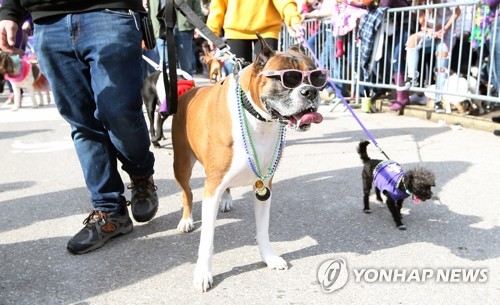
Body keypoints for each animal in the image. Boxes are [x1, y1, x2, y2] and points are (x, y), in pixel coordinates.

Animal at [171, 32, 324, 290]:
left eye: (317, 76)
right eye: (288, 78)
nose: (311, 91)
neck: (257, 119)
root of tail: (190, 91)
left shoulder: (264, 186)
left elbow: (263, 230)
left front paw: (268, 257)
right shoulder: (211, 188)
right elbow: (207, 240)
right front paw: (203, 272)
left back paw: (226, 200)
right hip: (181, 165)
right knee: (187, 193)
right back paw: (186, 220)